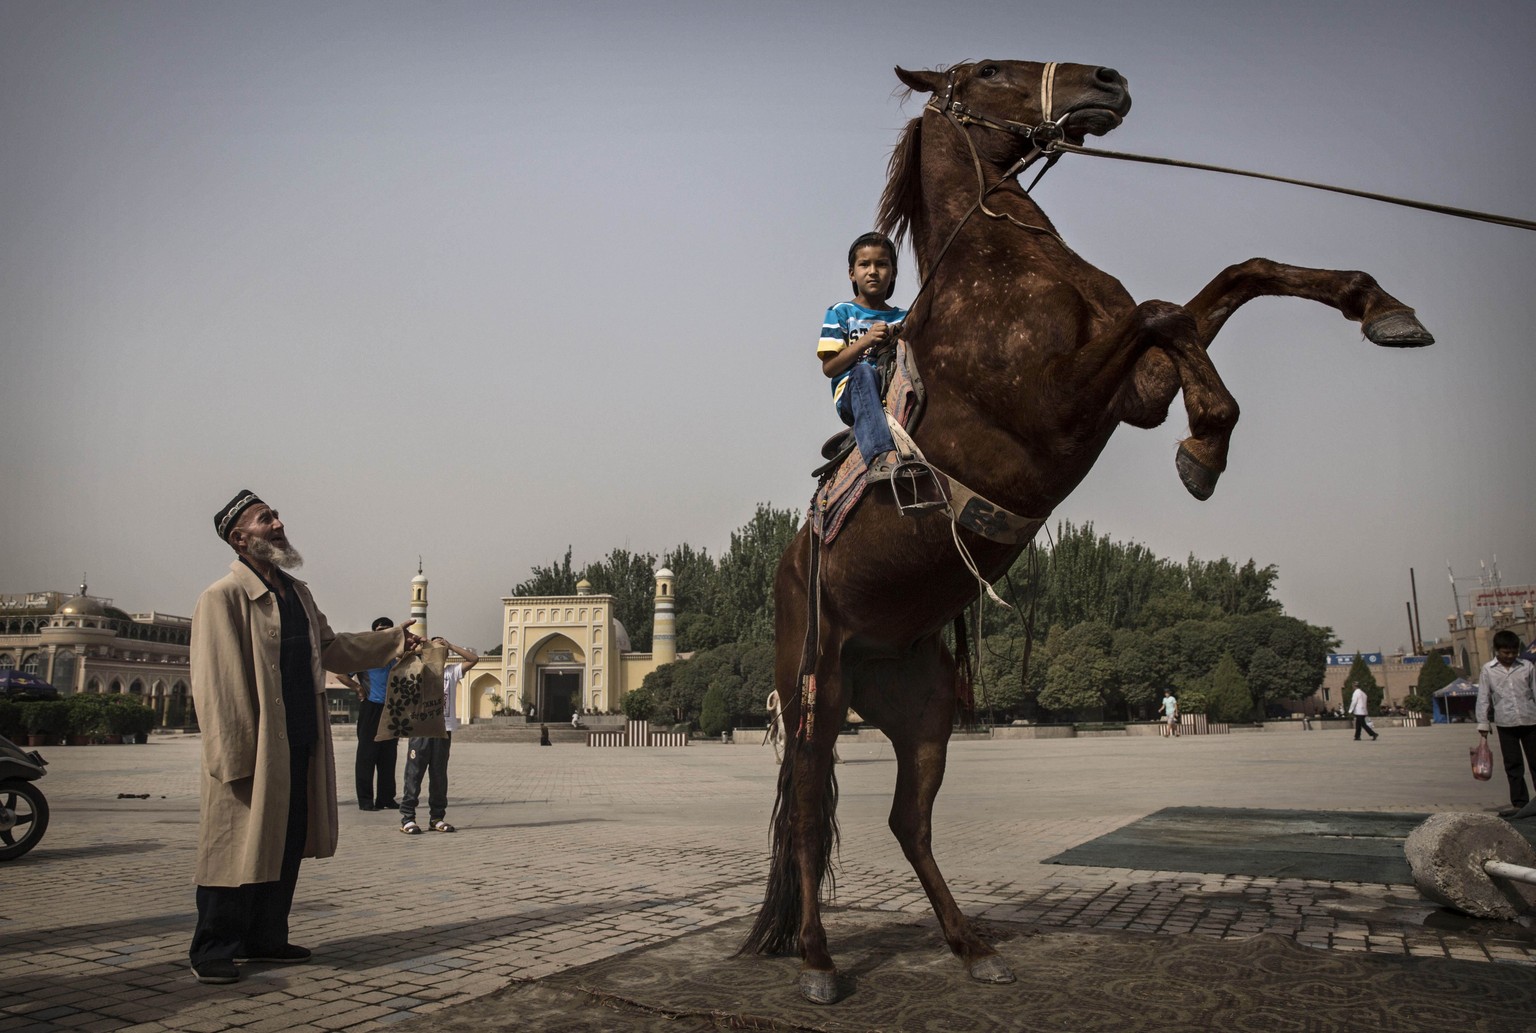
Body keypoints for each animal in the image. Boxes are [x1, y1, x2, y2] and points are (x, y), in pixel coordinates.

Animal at [737, 60, 1431, 1000]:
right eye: (989, 69)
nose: (1107, 80)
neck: (1006, 267)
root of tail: (789, 569)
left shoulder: (1131, 391)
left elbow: (1225, 282)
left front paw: (1382, 309)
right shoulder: (1056, 409)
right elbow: (1163, 311)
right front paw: (1205, 444)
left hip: (922, 706)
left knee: (907, 821)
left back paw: (971, 943)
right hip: (816, 689)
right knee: (811, 813)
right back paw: (817, 958)